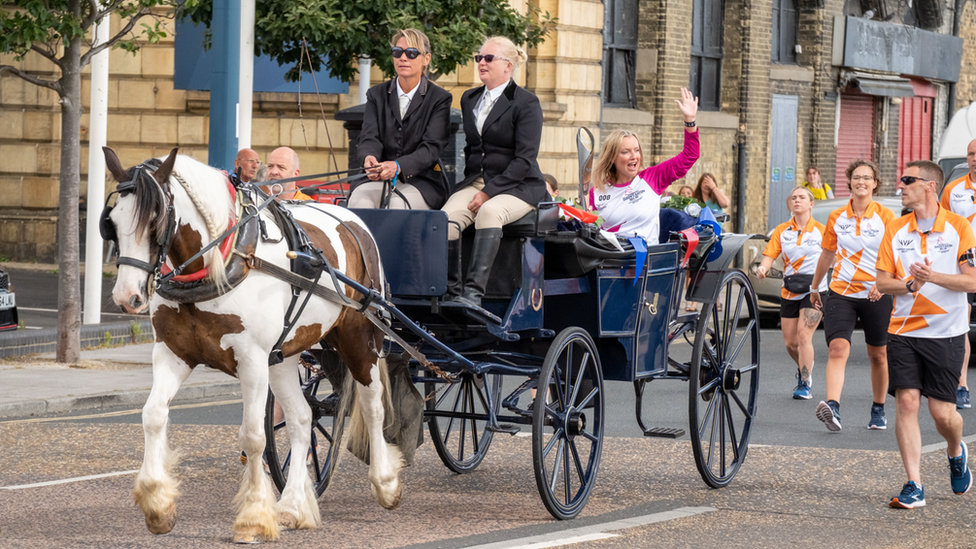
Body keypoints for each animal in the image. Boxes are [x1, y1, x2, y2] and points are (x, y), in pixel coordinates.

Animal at [100, 148, 404, 540]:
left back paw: (385, 483)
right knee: (302, 419)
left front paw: (254, 517)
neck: (219, 260)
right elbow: (152, 415)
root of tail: (353, 219)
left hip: (359, 339)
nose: (127, 297)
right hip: (285, 356)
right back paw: (292, 506)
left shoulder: (252, 360)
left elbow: (254, 437)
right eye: (112, 222)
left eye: (155, 221)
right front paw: (157, 504)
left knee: (372, 405)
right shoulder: (173, 353)